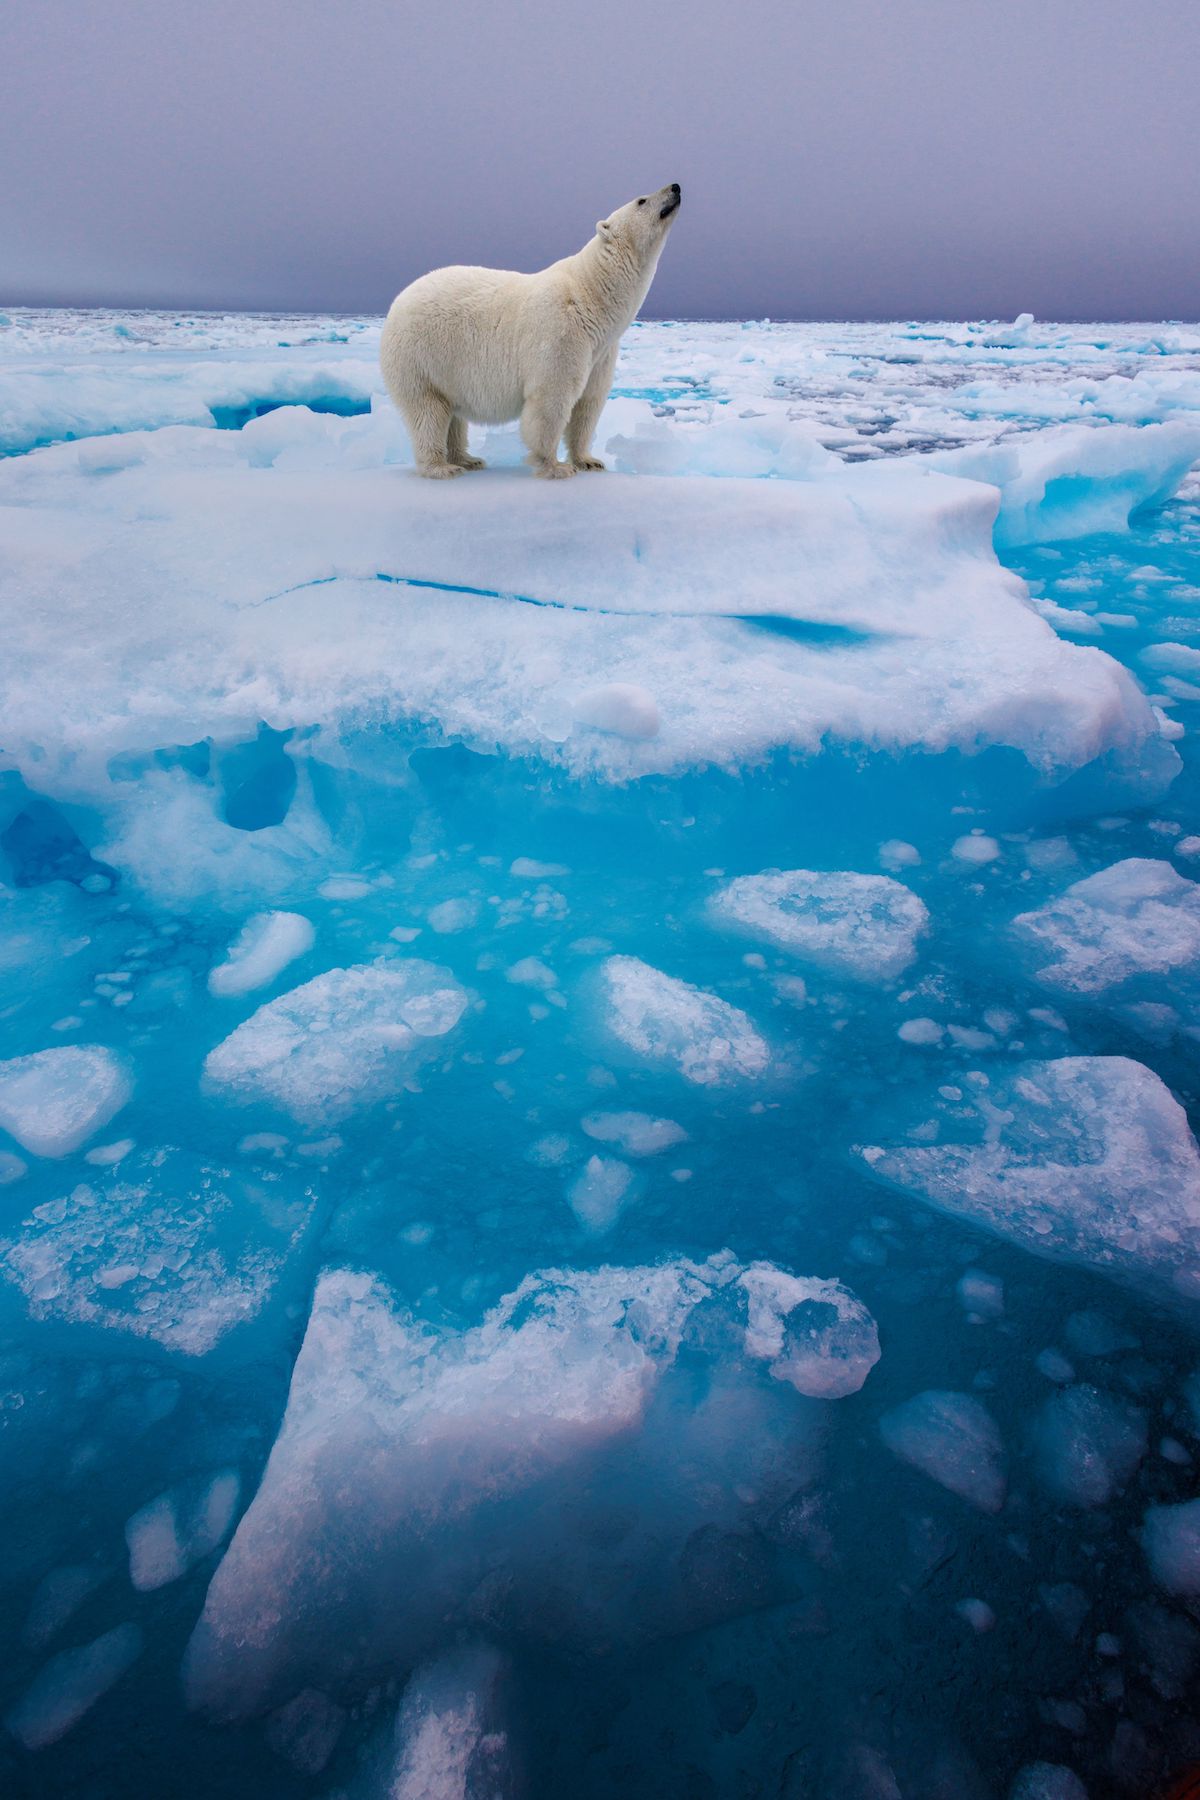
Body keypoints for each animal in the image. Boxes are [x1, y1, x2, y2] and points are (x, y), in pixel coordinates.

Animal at [379, 183, 681, 480]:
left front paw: (589, 461)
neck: (591, 295)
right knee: (428, 412)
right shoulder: (561, 332)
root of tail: (397, 303)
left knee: (453, 414)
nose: (675, 187)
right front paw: (555, 466)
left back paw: (468, 459)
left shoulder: (601, 351)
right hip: (421, 358)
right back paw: (441, 467)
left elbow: (588, 404)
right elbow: (551, 399)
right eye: (642, 200)